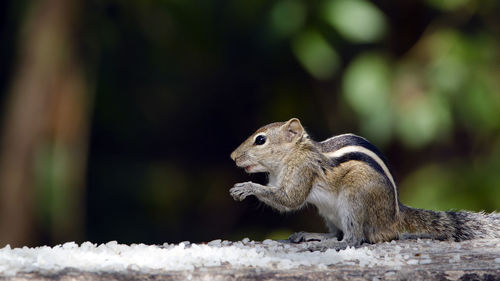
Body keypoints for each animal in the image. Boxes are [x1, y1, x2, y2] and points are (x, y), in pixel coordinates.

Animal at [229, 117, 500, 248]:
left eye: (260, 140)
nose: (233, 156)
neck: (293, 155)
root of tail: (394, 217)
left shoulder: (303, 171)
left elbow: (290, 200)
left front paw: (246, 188)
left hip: (355, 198)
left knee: (353, 239)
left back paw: (326, 246)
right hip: (329, 212)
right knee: (337, 233)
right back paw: (314, 236)